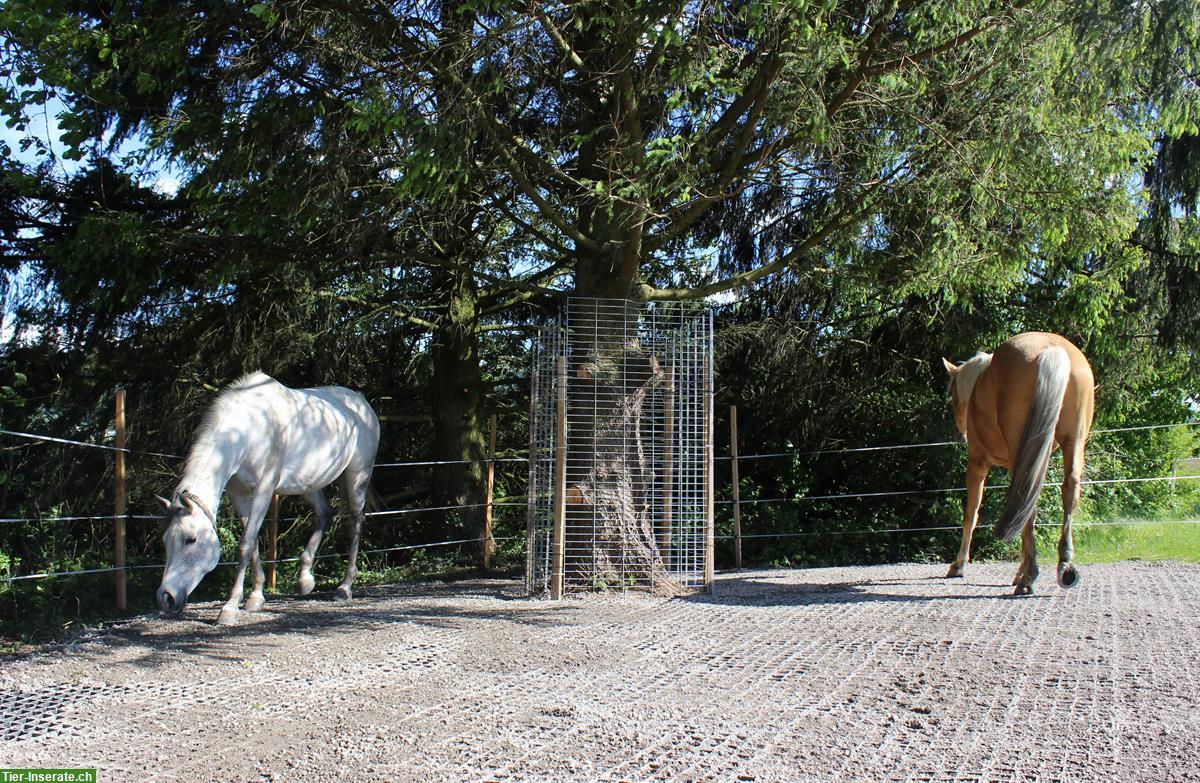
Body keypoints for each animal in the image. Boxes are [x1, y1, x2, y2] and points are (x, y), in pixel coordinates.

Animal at [156, 372, 379, 624]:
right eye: (165, 540)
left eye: (190, 539)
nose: (166, 598)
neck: (249, 427)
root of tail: (361, 401)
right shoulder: (237, 491)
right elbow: (251, 542)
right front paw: (255, 597)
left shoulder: (264, 488)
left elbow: (245, 543)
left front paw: (230, 608)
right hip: (308, 482)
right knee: (324, 513)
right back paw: (304, 580)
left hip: (356, 477)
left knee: (356, 523)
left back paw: (344, 588)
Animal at [940, 331, 1094, 593]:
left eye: (952, 396)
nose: (959, 435)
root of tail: (1053, 351)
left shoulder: (977, 462)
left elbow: (972, 512)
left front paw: (958, 565)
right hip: (1073, 443)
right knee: (1067, 491)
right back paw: (1063, 567)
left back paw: (1028, 578)